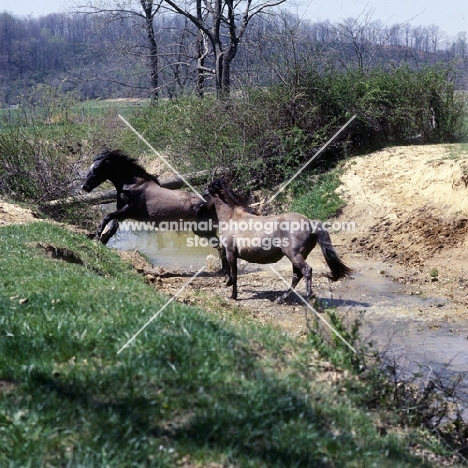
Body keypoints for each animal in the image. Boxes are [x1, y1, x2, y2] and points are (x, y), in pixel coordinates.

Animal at [205, 177, 352, 302]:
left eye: (206, 193)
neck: (232, 218)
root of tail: (310, 223)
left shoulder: (231, 253)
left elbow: (234, 274)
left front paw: (233, 295)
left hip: (294, 255)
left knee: (306, 271)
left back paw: (309, 296)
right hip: (297, 256)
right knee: (297, 276)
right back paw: (282, 298)